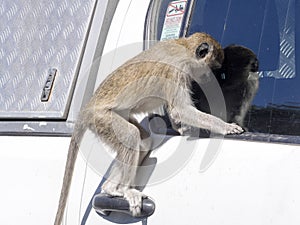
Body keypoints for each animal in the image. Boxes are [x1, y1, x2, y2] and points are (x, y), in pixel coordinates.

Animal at [53, 32, 244, 224]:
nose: (210, 79)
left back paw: (110, 188)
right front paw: (226, 126)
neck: (185, 47)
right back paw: (124, 190)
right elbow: (181, 110)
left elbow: (175, 112)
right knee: (131, 135)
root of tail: (87, 109)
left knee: (143, 142)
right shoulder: (176, 70)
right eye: (213, 68)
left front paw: (180, 128)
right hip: (102, 118)